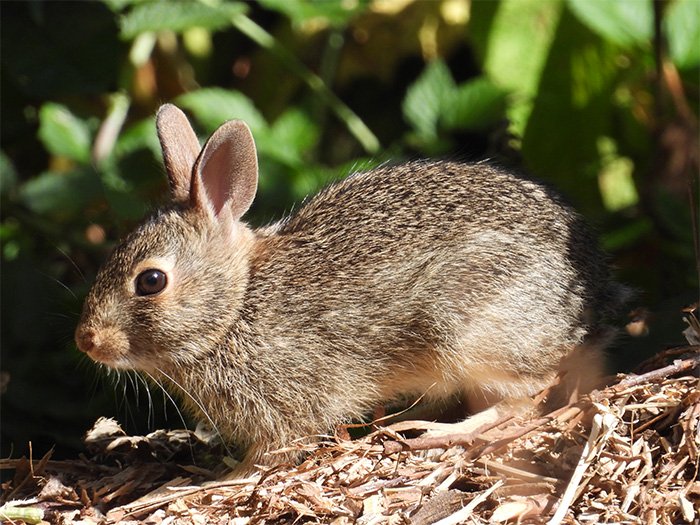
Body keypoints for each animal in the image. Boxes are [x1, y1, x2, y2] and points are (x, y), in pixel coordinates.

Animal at [75, 104, 628, 475]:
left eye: (150, 281)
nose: (87, 340)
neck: (235, 308)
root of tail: (593, 306)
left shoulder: (288, 404)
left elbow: (271, 455)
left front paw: (217, 482)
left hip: (468, 329)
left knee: (526, 396)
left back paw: (433, 433)